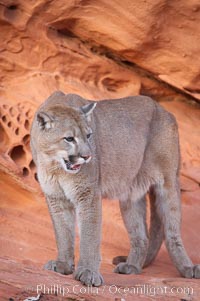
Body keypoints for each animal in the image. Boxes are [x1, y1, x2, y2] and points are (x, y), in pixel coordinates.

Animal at [30, 91, 199, 286]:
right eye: (69, 138)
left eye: (89, 135)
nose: (87, 156)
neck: (55, 167)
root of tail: (164, 109)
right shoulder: (56, 197)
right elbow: (63, 232)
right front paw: (63, 264)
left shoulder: (88, 194)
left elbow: (90, 235)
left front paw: (88, 272)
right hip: (131, 196)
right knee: (141, 236)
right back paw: (132, 267)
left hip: (168, 183)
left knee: (172, 232)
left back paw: (188, 268)